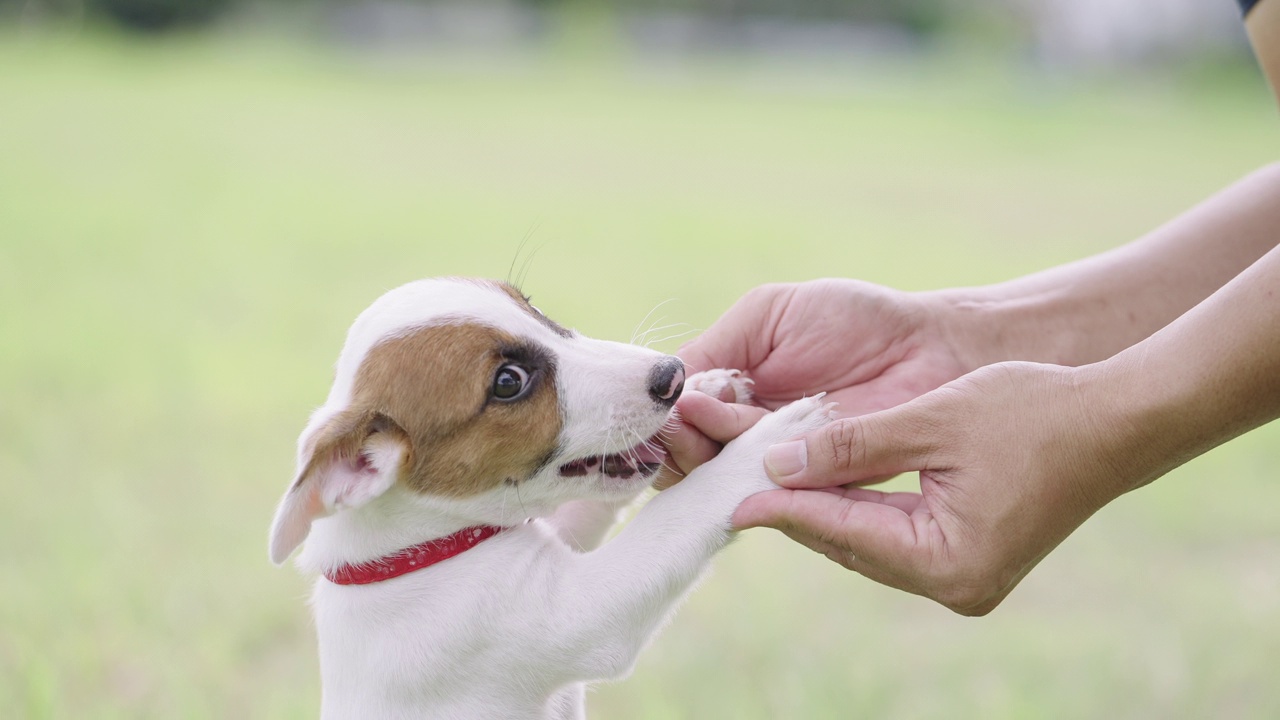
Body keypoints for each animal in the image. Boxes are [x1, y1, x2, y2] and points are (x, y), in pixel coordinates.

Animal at [264, 278, 834, 712]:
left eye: (536, 309)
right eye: (508, 382)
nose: (674, 376)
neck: (421, 548)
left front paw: (712, 388)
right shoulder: (572, 611)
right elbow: (680, 513)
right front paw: (764, 445)